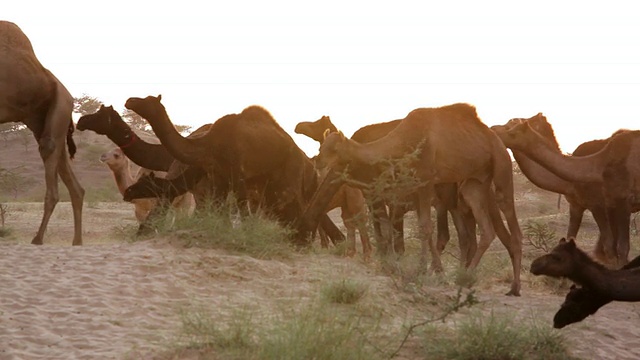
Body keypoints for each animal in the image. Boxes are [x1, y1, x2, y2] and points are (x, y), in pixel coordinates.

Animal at [0, 19, 84, 245]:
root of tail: (70, 97)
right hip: (45, 121)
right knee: (74, 184)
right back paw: (77, 241)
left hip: (59, 109)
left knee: (49, 153)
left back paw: (38, 238)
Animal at [124, 95, 344, 245]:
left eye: (147, 100)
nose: (129, 101)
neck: (208, 144)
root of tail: (307, 161)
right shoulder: (219, 176)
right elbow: (218, 206)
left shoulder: (238, 173)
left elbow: (240, 208)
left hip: (290, 174)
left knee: (296, 204)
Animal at [302, 102, 524, 294]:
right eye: (322, 147)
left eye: (333, 149)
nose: (318, 162)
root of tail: (496, 140)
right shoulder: (412, 189)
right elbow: (416, 228)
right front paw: (429, 270)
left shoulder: (424, 180)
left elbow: (424, 228)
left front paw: (423, 270)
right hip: (474, 184)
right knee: (485, 229)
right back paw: (466, 277)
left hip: (501, 167)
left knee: (511, 224)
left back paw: (514, 287)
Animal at [492, 115, 640, 264]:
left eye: (511, 129)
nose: (494, 129)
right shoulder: (589, 204)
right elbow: (584, 241)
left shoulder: (607, 202)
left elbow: (618, 248)